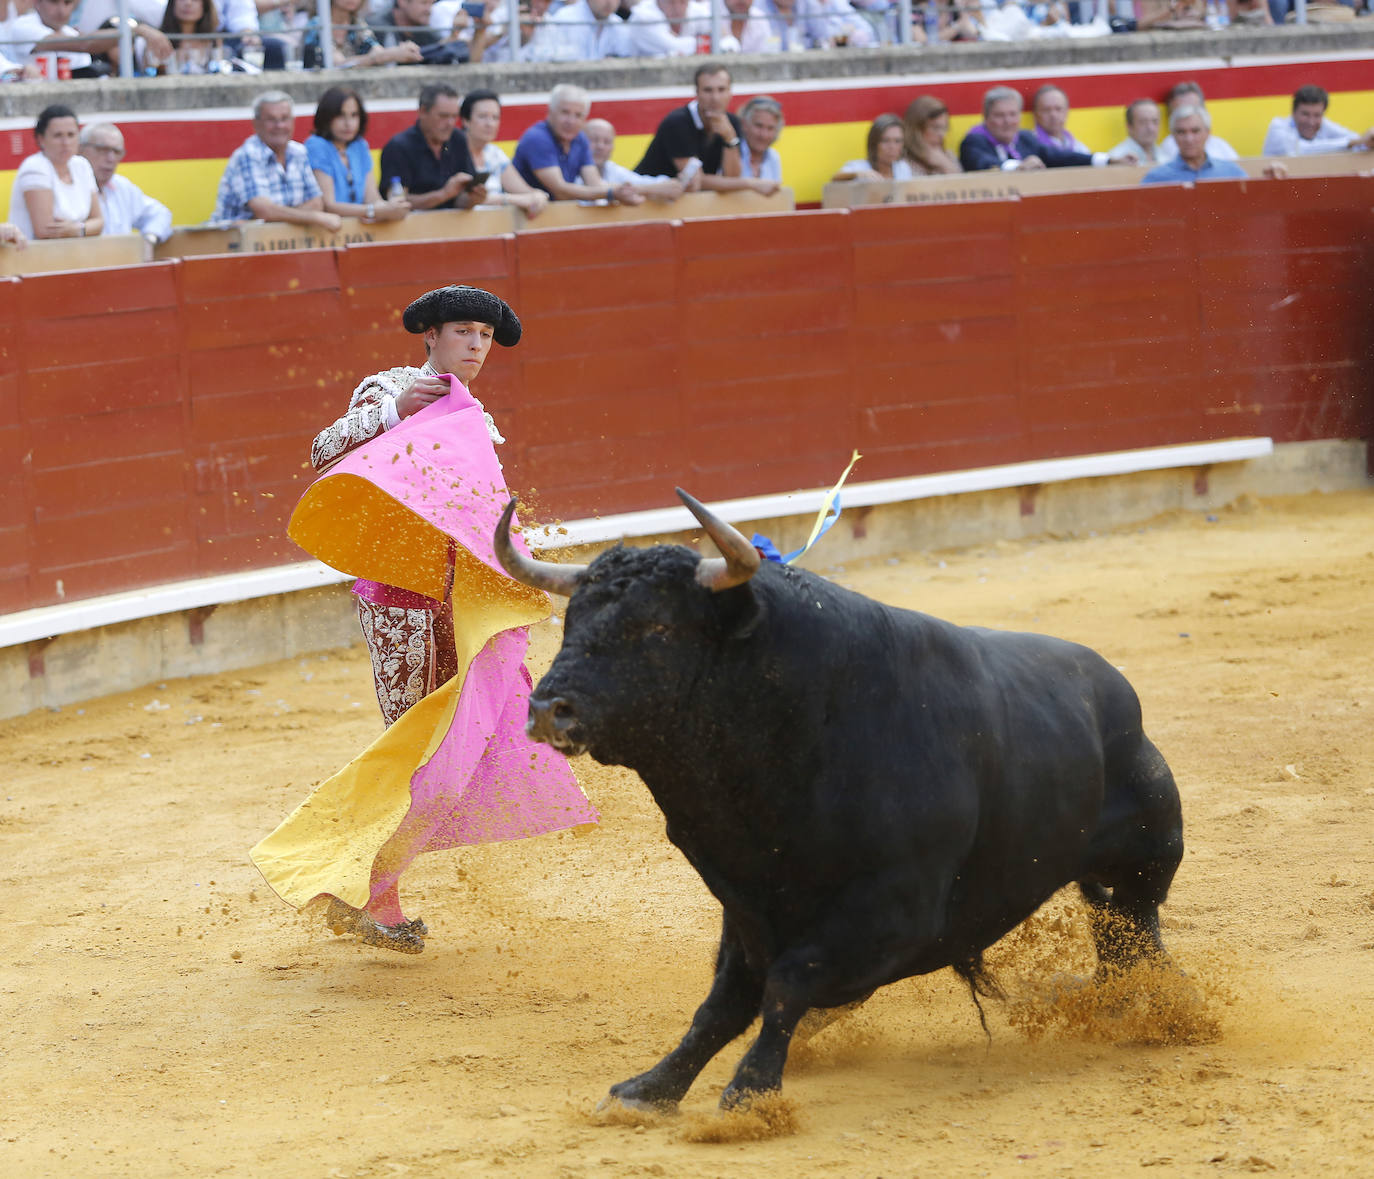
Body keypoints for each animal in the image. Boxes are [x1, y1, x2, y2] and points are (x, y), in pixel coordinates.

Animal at [494, 489, 1181, 1110]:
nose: (548, 708)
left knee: (1136, 932)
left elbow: (786, 984)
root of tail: (1115, 692)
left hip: (1150, 858)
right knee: (1116, 930)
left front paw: (750, 1091)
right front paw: (651, 1088)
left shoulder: (893, 909)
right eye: (572, 620)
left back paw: (1157, 1010)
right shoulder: (746, 904)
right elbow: (723, 1002)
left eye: (659, 628)